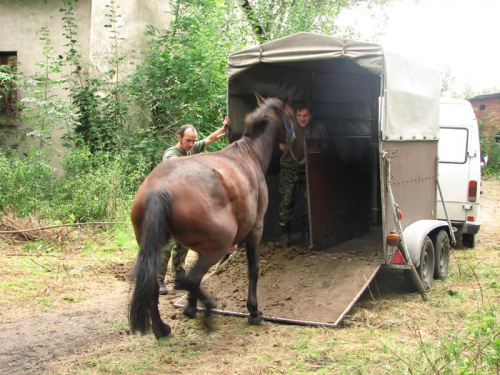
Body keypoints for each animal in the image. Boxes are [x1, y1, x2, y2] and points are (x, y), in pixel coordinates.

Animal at [127, 93, 296, 338]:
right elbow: (253, 269)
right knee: (189, 279)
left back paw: (163, 328)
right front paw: (254, 312)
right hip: (219, 244)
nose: (295, 140)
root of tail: (161, 188)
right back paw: (207, 310)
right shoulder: (256, 229)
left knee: (161, 285)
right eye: (291, 115)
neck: (249, 154)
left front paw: (190, 306)